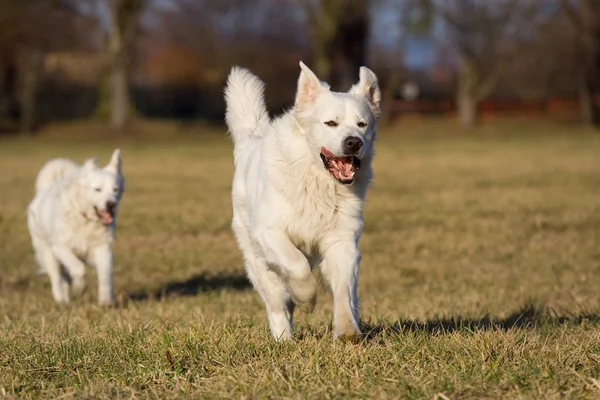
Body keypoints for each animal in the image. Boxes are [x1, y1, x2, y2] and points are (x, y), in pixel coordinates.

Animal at [27, 150, 125, 306]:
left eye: (115, 189)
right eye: (97, 189)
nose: (111, 204)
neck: (85, 219)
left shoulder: (103, 249)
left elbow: (105, 277)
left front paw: (105, 302)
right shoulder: (60, 247)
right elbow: (79, 269)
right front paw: (80, 287)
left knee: (66, 278)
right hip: (49, 255)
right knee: (57, 279)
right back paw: (61, 300)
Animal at [223, 60, 382, 340]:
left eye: (362, 124)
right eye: (331, 123)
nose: (353, 142)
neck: (318, 182)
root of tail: (249, 143)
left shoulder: (341, 241)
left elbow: (344, 291)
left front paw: (347, 330)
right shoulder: (269, 233)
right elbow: (297, 267)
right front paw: (306, 299)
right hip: (258, 263)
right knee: (277, 303)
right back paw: (283, 338)